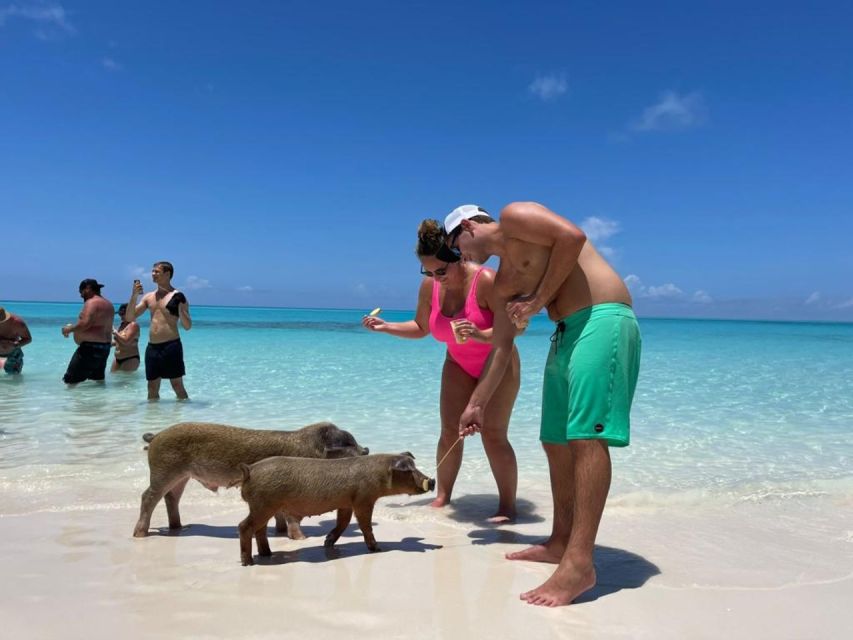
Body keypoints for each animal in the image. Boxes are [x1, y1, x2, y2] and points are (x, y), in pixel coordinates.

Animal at [133, 421, 369, 538]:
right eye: (347, 443)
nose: (366, 449)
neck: (314, 451)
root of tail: (155, 436)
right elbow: (290, 514)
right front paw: (302, 539)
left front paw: (279, 533)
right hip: (164, 470)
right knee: (148, 497)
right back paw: (140, 534)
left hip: (181, 476)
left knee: (171, 497)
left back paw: (178, 528)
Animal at [238, 452, 435, 566]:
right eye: (409, 470)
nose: (432, 480)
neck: (379, 474)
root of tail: (250, 470)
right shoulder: (363, 499)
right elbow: (365, 525)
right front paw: (377, 549)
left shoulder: (345, 503)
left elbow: (343, 523)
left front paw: (327, 543)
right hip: (263, 505)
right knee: (244, 526)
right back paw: (248, 563)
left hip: (264, 507)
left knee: (260, 529)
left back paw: (266, 555)